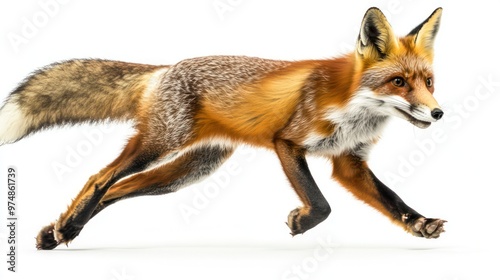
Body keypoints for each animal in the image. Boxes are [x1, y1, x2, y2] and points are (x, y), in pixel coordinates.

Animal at [0, 7, 446, 249]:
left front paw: (419, 223)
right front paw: (300, 222)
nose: (438, 113)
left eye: (429, 82)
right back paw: (68, 226)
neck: (354, 109)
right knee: (100, 178)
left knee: (116, 189)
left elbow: (392, 200)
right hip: (160, 145)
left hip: (188, 170)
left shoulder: (349, 162)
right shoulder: (288, 142)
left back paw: (59, 232)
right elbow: (321, 204)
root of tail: (163, 70)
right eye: (398, 82)